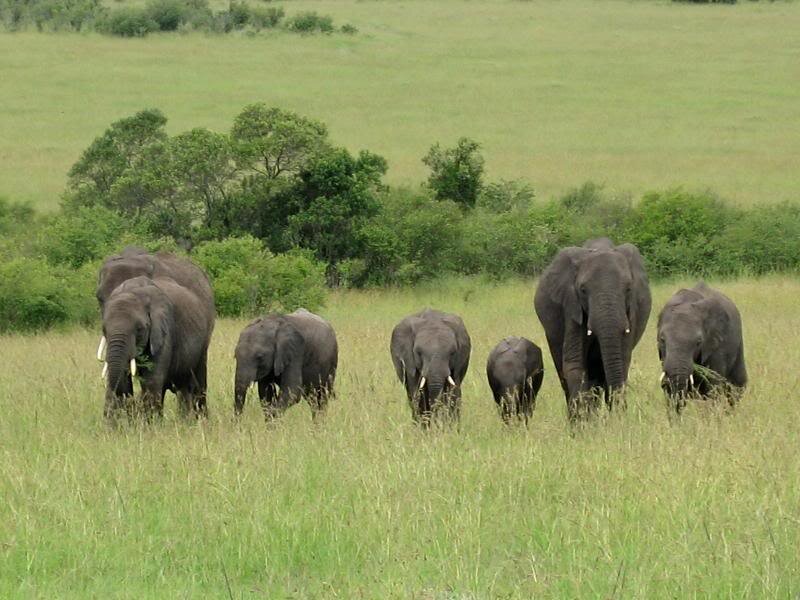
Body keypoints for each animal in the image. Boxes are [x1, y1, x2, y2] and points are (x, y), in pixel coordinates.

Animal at [101, 275, 216, 422]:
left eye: (139, 329)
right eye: (104, 329)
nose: (133, 406)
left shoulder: (164, 331)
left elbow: (152, 381)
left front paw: (149, 425)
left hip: (204, 342)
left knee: (197, 383)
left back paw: (199, 421)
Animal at [534, 238, 652, 422]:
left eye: (628, 289)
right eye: (583, 290)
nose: (620, 416)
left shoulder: (632, 311)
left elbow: (622, 360)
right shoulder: (571, 306)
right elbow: (575, 364)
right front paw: (583, 423)